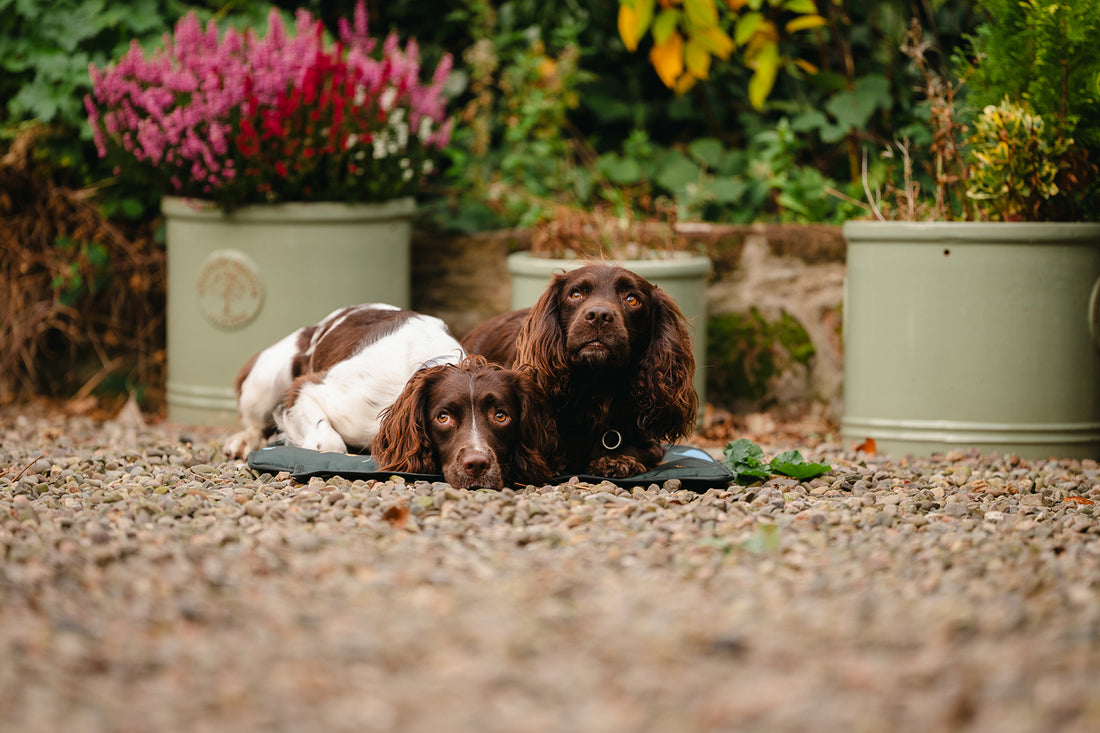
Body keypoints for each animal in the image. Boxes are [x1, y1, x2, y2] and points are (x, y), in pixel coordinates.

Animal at [223, 301, 464, 457]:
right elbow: (329, 443)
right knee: (254, 425)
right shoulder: (308, 389)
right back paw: (241, 443)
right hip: (263, 383)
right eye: (443, 417)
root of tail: (316, 326)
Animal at [464, 263, 695, 479]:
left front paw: (616, 459)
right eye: (576, 294)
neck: (597, 386)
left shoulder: (650, 442)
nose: (599, 315)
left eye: (632, 299)